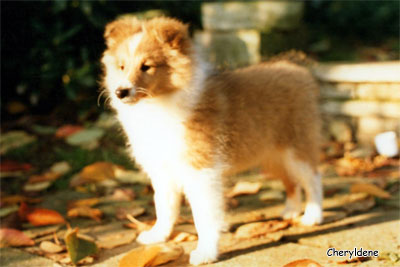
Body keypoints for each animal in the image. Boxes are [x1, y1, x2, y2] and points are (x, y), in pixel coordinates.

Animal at [101, 16, 324, 266]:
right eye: (121, 66)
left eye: (146, 66)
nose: (120, 92)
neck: (158, 104)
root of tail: (297, 68)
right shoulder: (163, 170)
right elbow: (164, 207)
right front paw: (157, 236)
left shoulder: (201, 170)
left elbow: (203, 215)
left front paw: (205, 252)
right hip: (272, 155)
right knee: (291, 181)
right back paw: (291, 211)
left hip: (296, 147)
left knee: (313, 178)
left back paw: (312, 216)